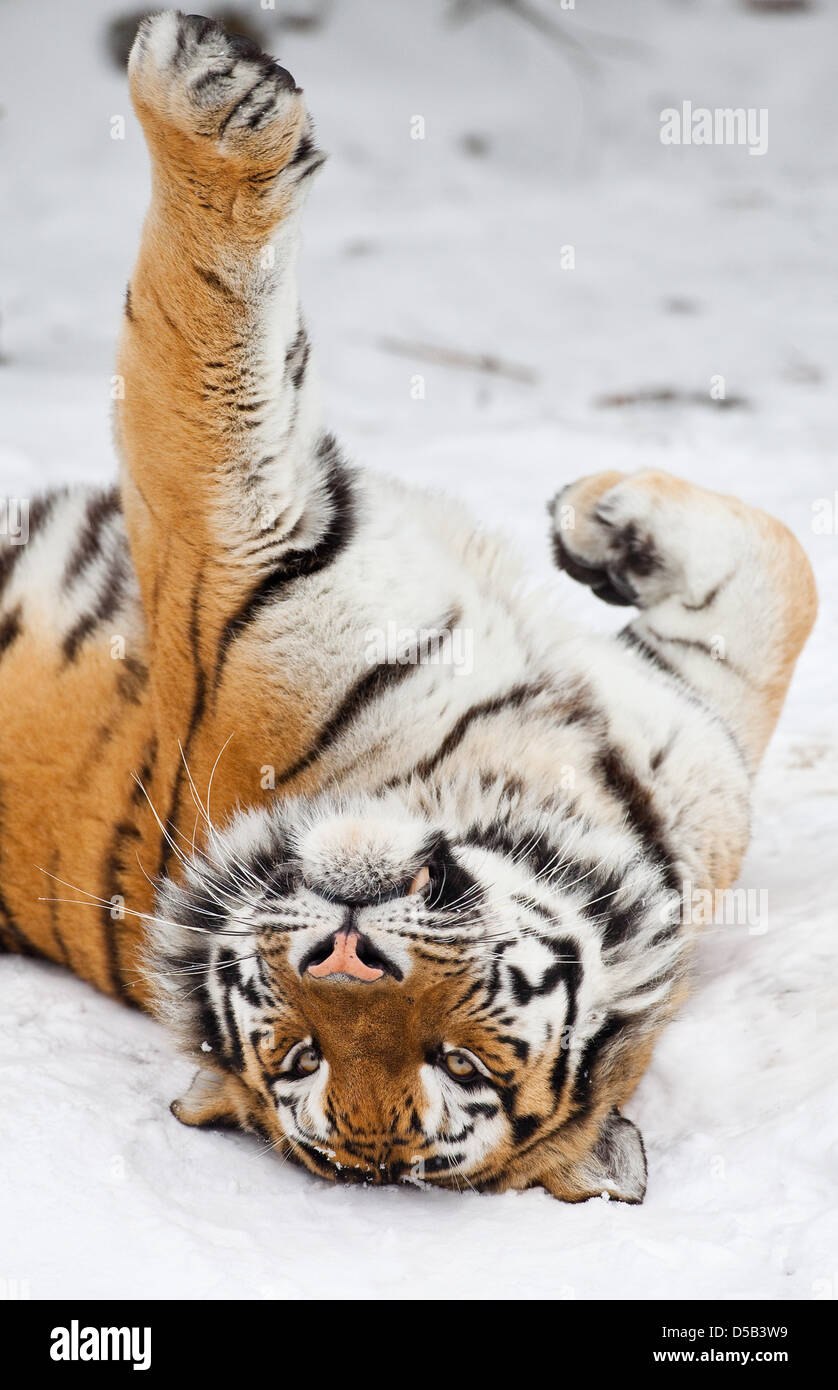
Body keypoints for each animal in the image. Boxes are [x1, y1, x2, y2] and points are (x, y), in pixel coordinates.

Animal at [0, 8, 817, 1206]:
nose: (341, 948)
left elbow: (190, 344)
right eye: (299, 1052)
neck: (566, 785)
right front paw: (602, 520)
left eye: (456, 1062)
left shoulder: (225, 542)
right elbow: (787, 578)